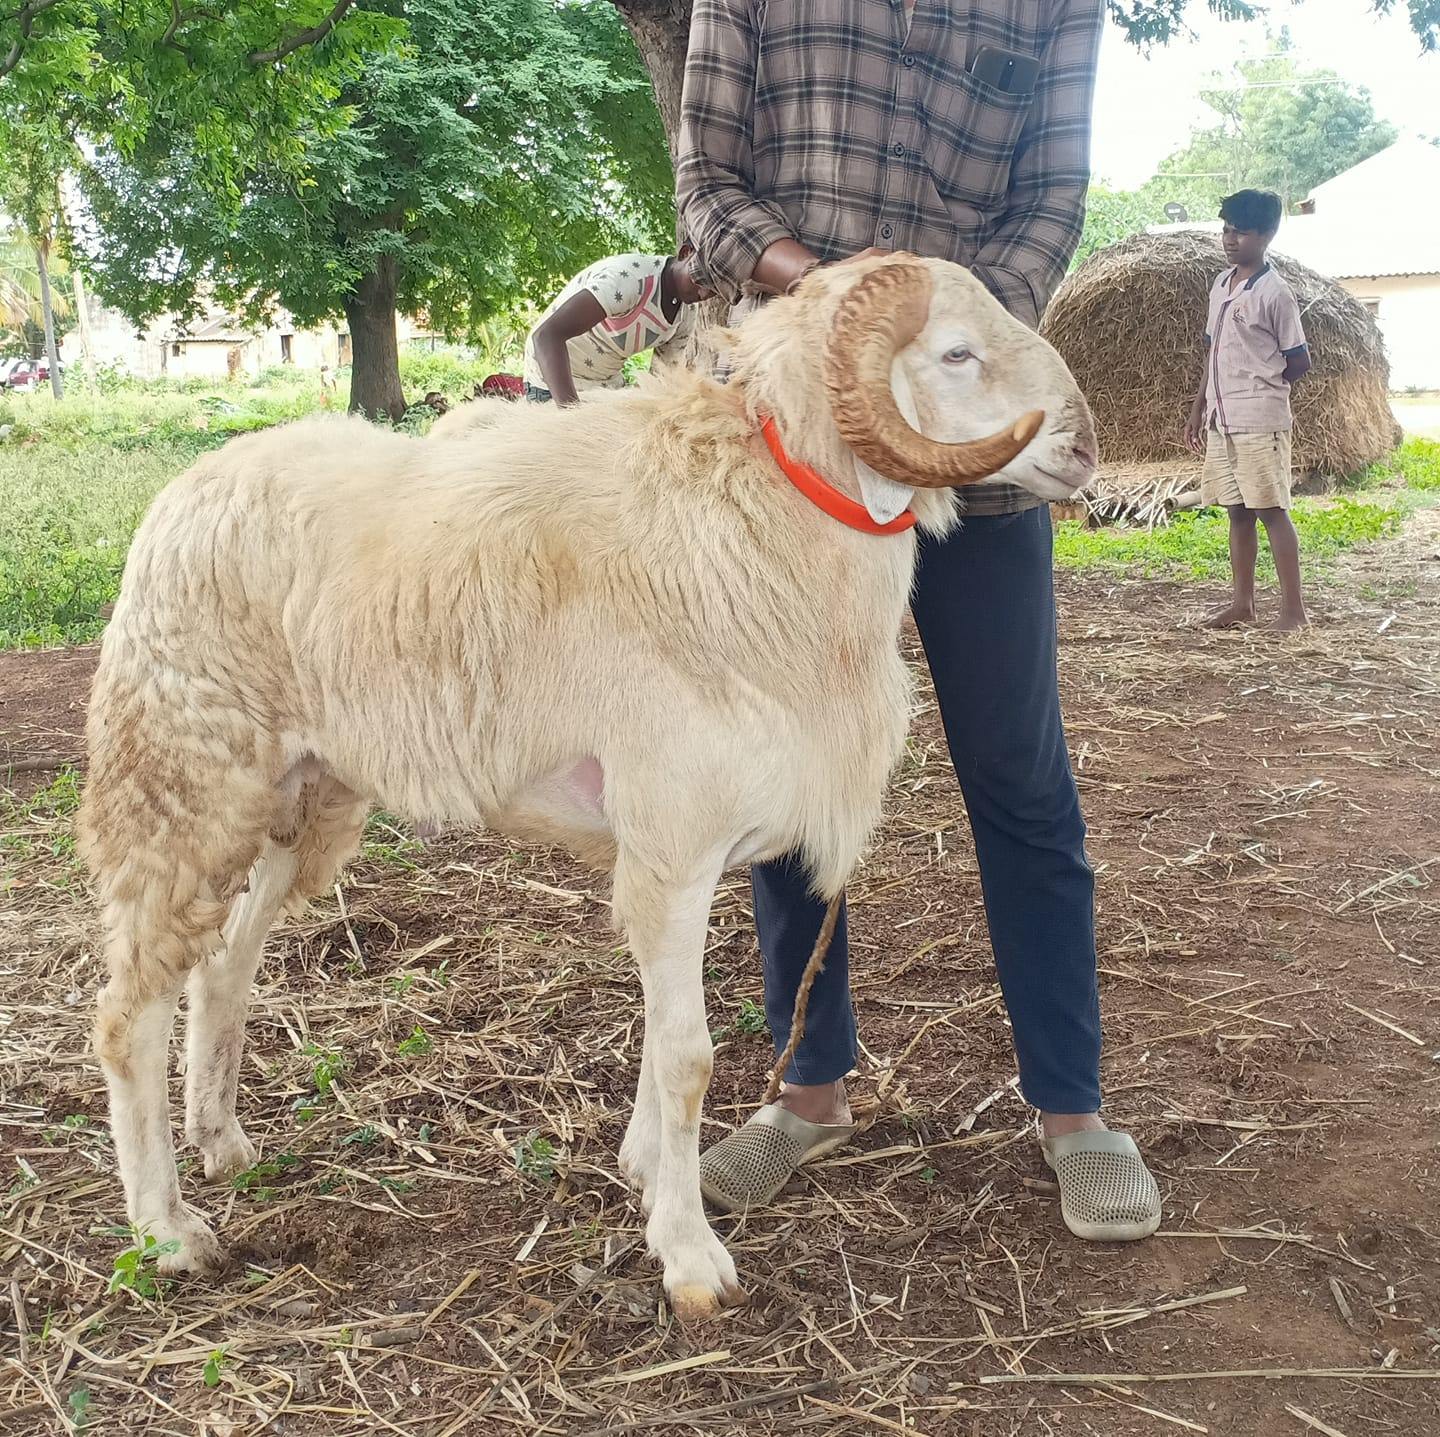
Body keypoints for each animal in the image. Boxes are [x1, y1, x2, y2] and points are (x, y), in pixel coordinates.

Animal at [78, 256, 1096, 1320]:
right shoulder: (673, 846)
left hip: (303, 795)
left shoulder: (676, 851)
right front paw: (689, 1257)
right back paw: (168, 1229)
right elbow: (688, 1058)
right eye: (957, 352)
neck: (756, 523)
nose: (1087, 447)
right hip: (181, 781)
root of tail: (185, 489)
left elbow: (660, 1041)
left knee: (222, 964)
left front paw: (646, 1171)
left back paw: (223, 1142)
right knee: (127, 1010)